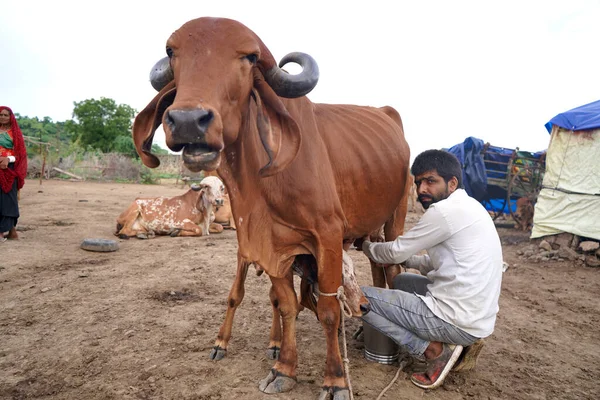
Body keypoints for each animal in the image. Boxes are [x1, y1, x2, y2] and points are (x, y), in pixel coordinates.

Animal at [133, 18, 410, 400]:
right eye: (172, 52)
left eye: (249, 57)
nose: (188, 120)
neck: (262, 184)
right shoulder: (270, 245)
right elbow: (287, 303)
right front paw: (284, 368)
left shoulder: (327, 237)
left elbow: (328, 310)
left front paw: (335, 381)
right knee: (376, 266)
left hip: (395, 220)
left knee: (392, 269)